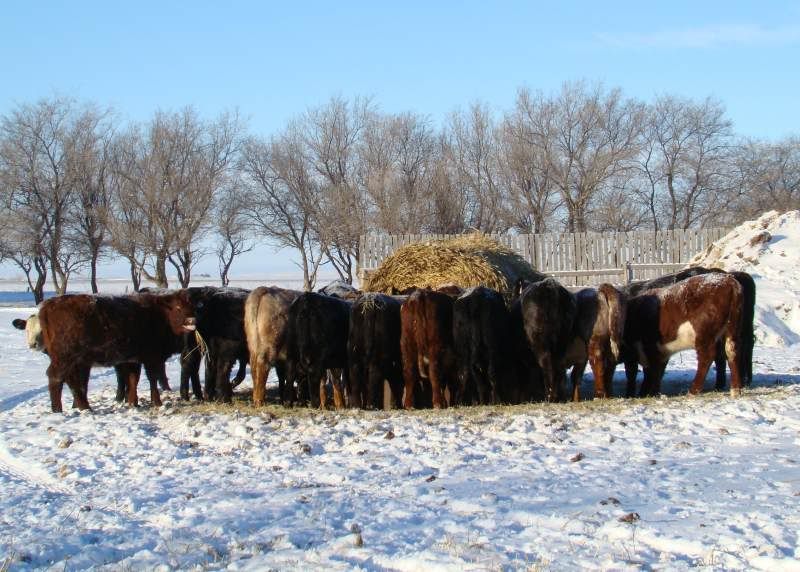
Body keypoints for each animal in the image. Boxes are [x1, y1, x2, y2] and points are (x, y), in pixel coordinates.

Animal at [37, 291, 196, 413]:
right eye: (177, 307)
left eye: (191, 307)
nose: (192, 321)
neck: (158, 315)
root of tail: (49, 305)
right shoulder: (152, 358)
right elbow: (152, 379)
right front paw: (156, 402)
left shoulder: (133, 360)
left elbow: (133, 379)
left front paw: (133, 403)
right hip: (65, 358)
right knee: (56, 377)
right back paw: (59, 409)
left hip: (74, 361)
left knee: (72, 380)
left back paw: (82, 406)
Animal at [623, 267, 756, 393]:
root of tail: (730, 280)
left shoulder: (646, 348)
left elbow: (642, 372)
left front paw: (643, 392)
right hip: (732, 329)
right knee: (732, 351)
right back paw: (735, 387)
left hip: (705, 333)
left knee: (709, 356)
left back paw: (695, 390)